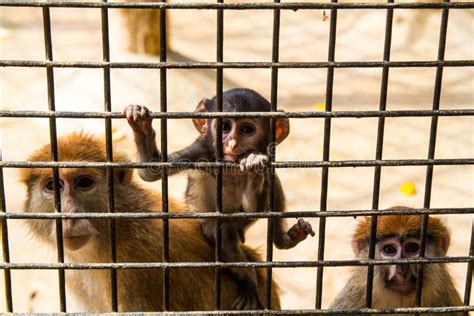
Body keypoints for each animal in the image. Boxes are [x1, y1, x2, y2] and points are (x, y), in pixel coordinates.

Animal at [124, 87, 314, 310]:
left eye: (247, 129)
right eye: (224, 127)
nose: (231, 144)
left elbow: (257, 199)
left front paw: (253, 167)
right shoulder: (200, 151)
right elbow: (150, 172)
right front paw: (141, 127)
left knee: (271, 187)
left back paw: (284, 239)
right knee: (221, 233)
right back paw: (248, 277)